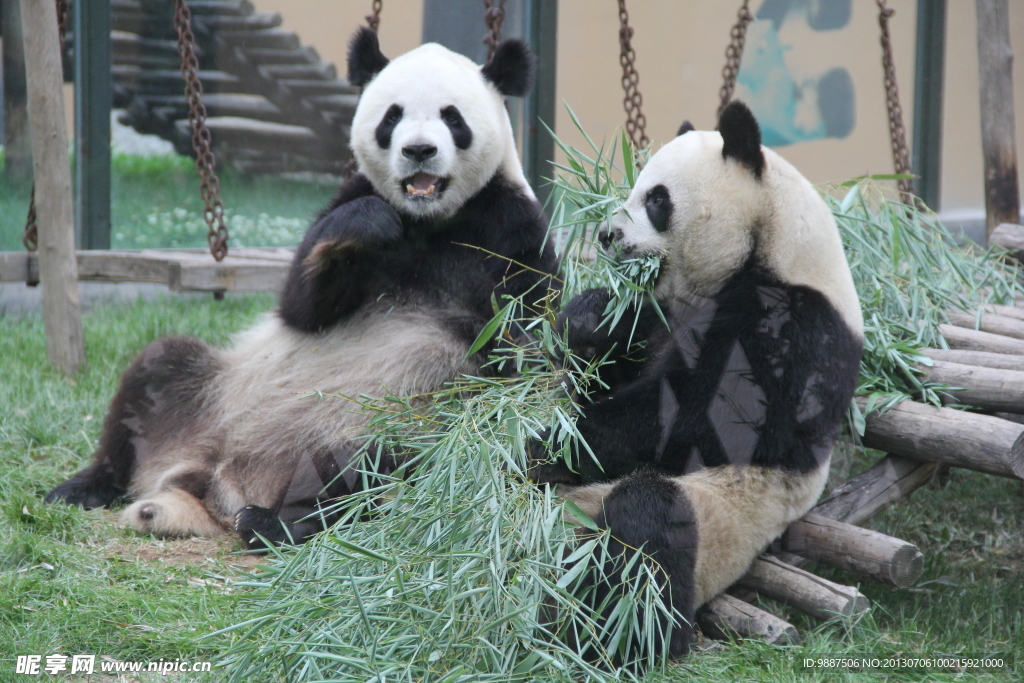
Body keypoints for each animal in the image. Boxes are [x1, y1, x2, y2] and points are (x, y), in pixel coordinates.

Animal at [46, 28, 561, 548]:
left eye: (452, 118)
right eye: (392, 116)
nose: (418, 150)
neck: (429, 219)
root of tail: (212, 481)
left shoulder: (510, 228)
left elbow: (528, 348)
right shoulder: (346, 200)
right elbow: (301, 305)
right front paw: (366, 226)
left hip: (378, 420)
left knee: (363, 466)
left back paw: (273, 523)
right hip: (208, 391)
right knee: (156, 370)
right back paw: (84, 486)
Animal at [536, 100, 864, 655]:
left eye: (656, 199)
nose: (606, 235)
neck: (772, 243)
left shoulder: (794, 324)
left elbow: (694, 420)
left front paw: (543, 444)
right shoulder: (663, 316)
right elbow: (614, 356)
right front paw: (587, 319)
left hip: (720, 522)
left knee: (646, 532)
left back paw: (614, 639)